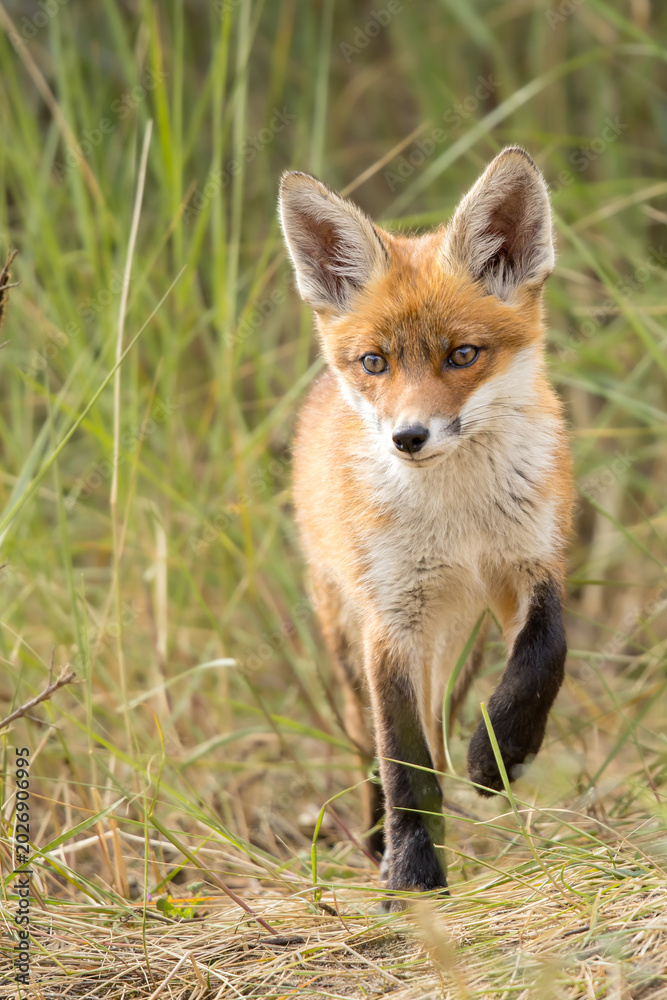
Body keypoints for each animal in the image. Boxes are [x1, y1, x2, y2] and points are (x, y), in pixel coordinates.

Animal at [278, 147, 574, 906]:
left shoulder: (529, 563)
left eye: (461, 355)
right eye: (375, 363)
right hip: (350, 636)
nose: (408, 438)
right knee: (372, 748)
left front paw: (500, 755)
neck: (457, 523)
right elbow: (403, 763)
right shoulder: (392, 618)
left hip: (459, 644)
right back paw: (379, 840)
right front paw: (411, 876)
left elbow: (544, 656)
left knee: (445, 722)